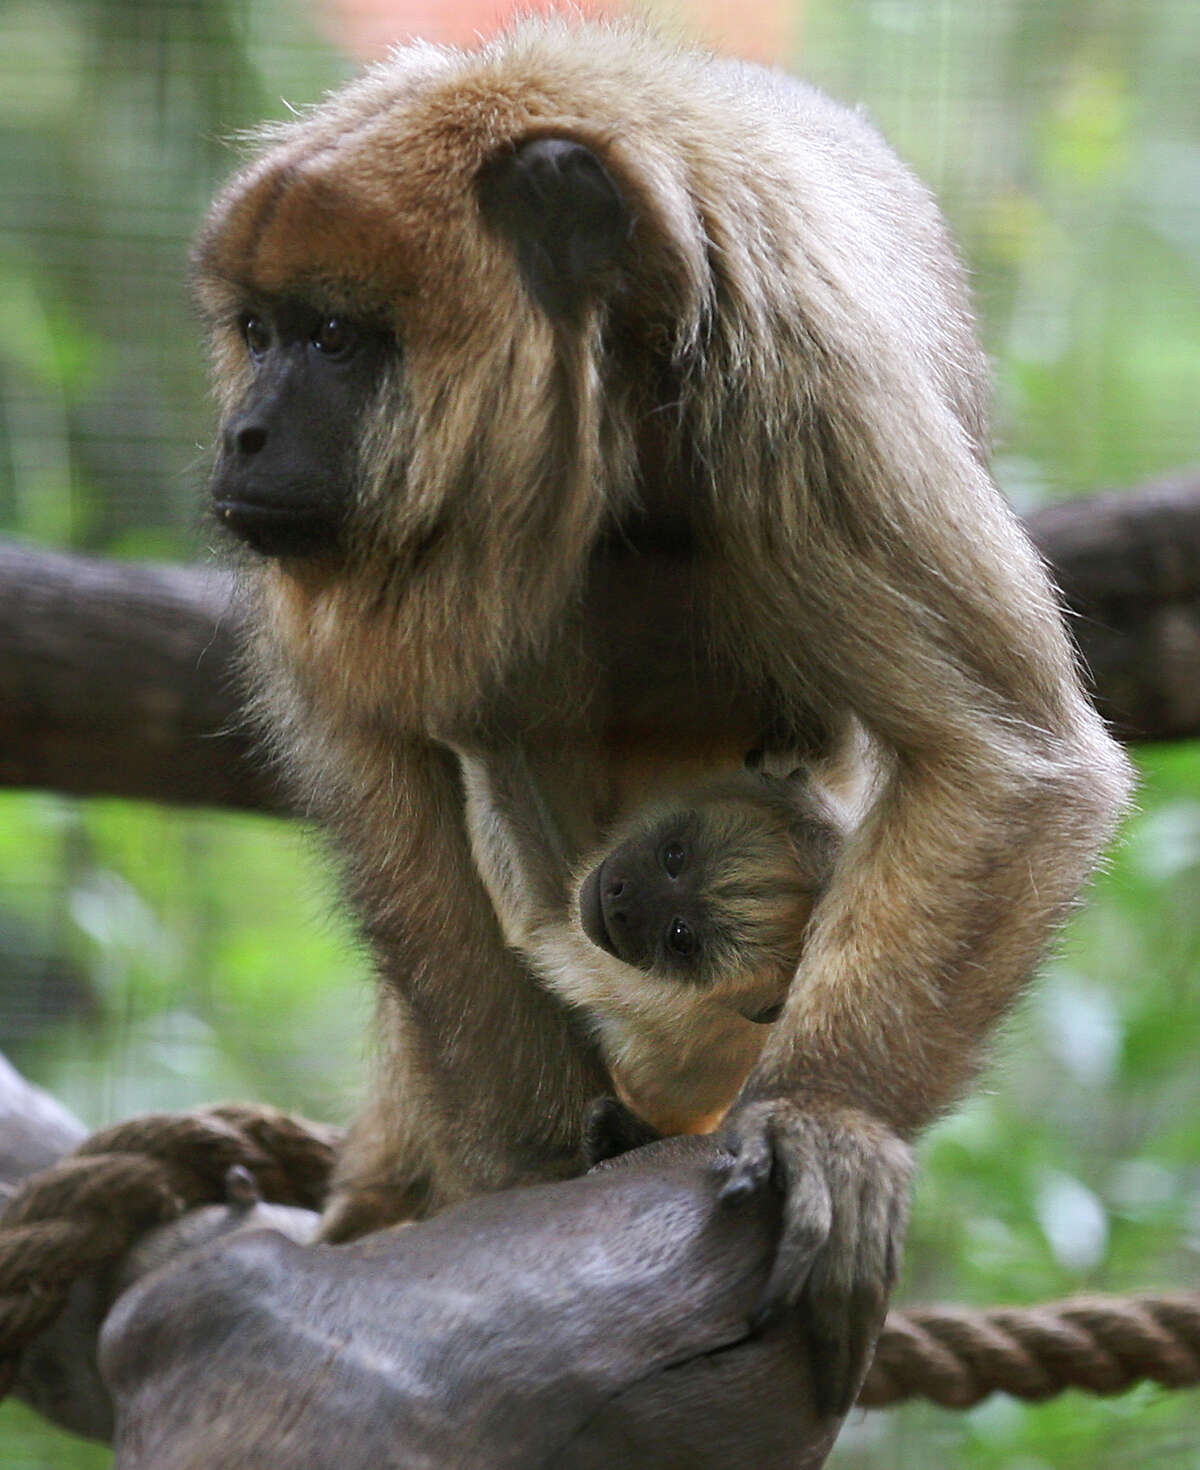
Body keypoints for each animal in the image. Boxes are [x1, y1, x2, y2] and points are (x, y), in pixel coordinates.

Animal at [452, 746, 846, 1137]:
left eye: (680, 936)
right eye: (674, 856)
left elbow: (537, 923)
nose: (619, 900)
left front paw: (475, 742)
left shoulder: (624, 984)